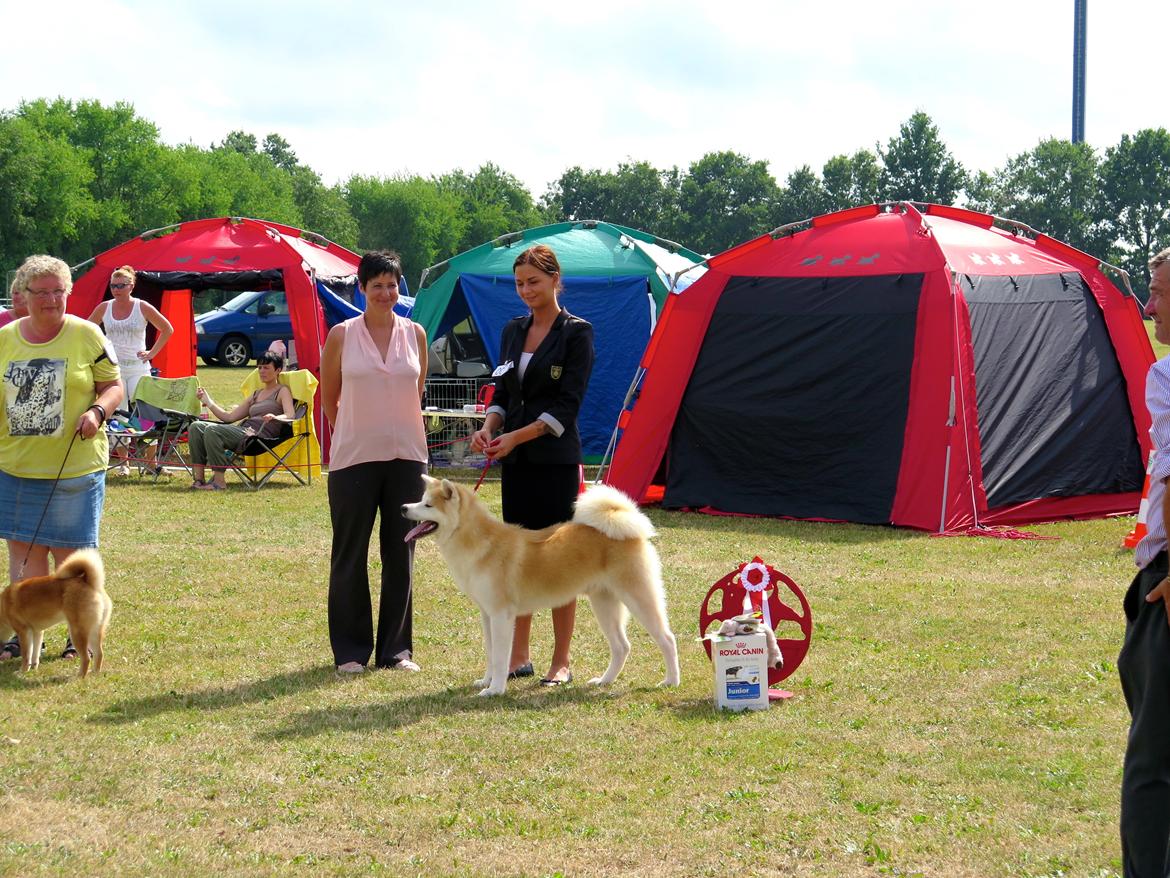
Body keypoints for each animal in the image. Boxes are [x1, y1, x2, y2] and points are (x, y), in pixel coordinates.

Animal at [0, 550, 111, 678]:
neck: (3, 606)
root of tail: (91, 584)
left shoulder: (24, 632)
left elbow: (26, 655)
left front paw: (23, 670)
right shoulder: (37, 632)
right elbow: (35, 653)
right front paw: (34, 667)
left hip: (77, 632)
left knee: (86, 658)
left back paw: (79, 676)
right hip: (95, 630)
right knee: (99, 653)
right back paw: (94, 673)